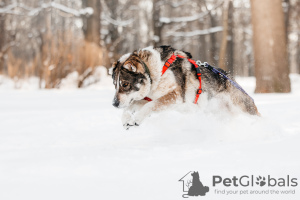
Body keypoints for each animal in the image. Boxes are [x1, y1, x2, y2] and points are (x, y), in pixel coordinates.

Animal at [110, 45, 258, 130]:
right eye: (115, 84)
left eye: (125, 84)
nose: (114, 104)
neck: (156, 71)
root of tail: (229, 77)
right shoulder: (149, 99)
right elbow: (132, 105)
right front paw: (127, 119)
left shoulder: (175, 95)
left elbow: (150, 106)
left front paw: (137, 118)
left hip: (243, 107)